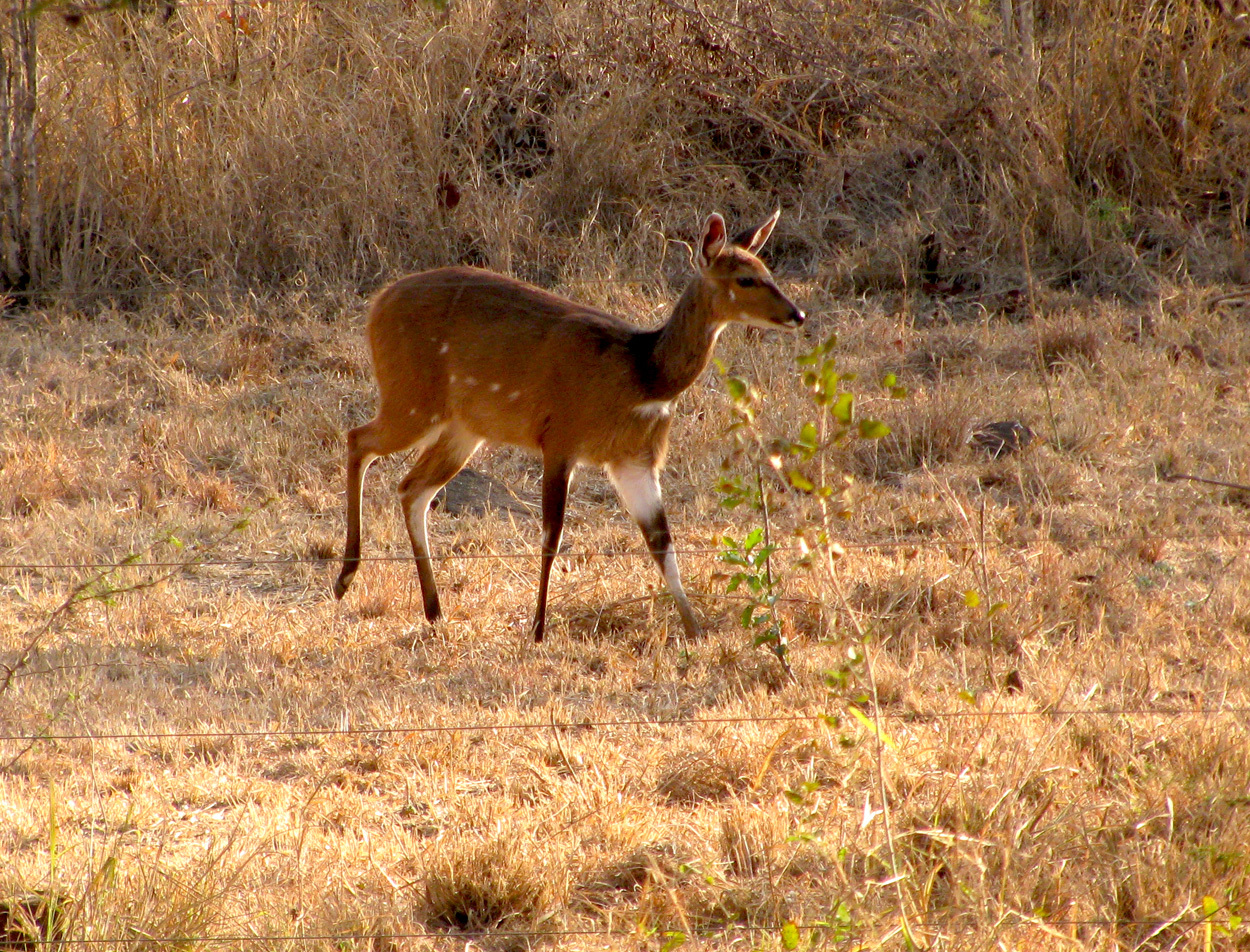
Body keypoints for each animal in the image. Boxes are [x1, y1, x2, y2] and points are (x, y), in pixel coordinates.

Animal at [335, 211, 800, 639]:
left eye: (768, 271)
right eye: (745, 279)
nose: (796, 314)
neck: (643, 376)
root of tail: (378, 303)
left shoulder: (634, 459)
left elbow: (661, 542)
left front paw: (695, 630)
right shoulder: (561, 440)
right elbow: (552, 536)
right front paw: (539, 629)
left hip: (463, 428)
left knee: (411, 487)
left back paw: (433, 609)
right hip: (413, 400)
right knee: (359, 439)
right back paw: (345, 577)